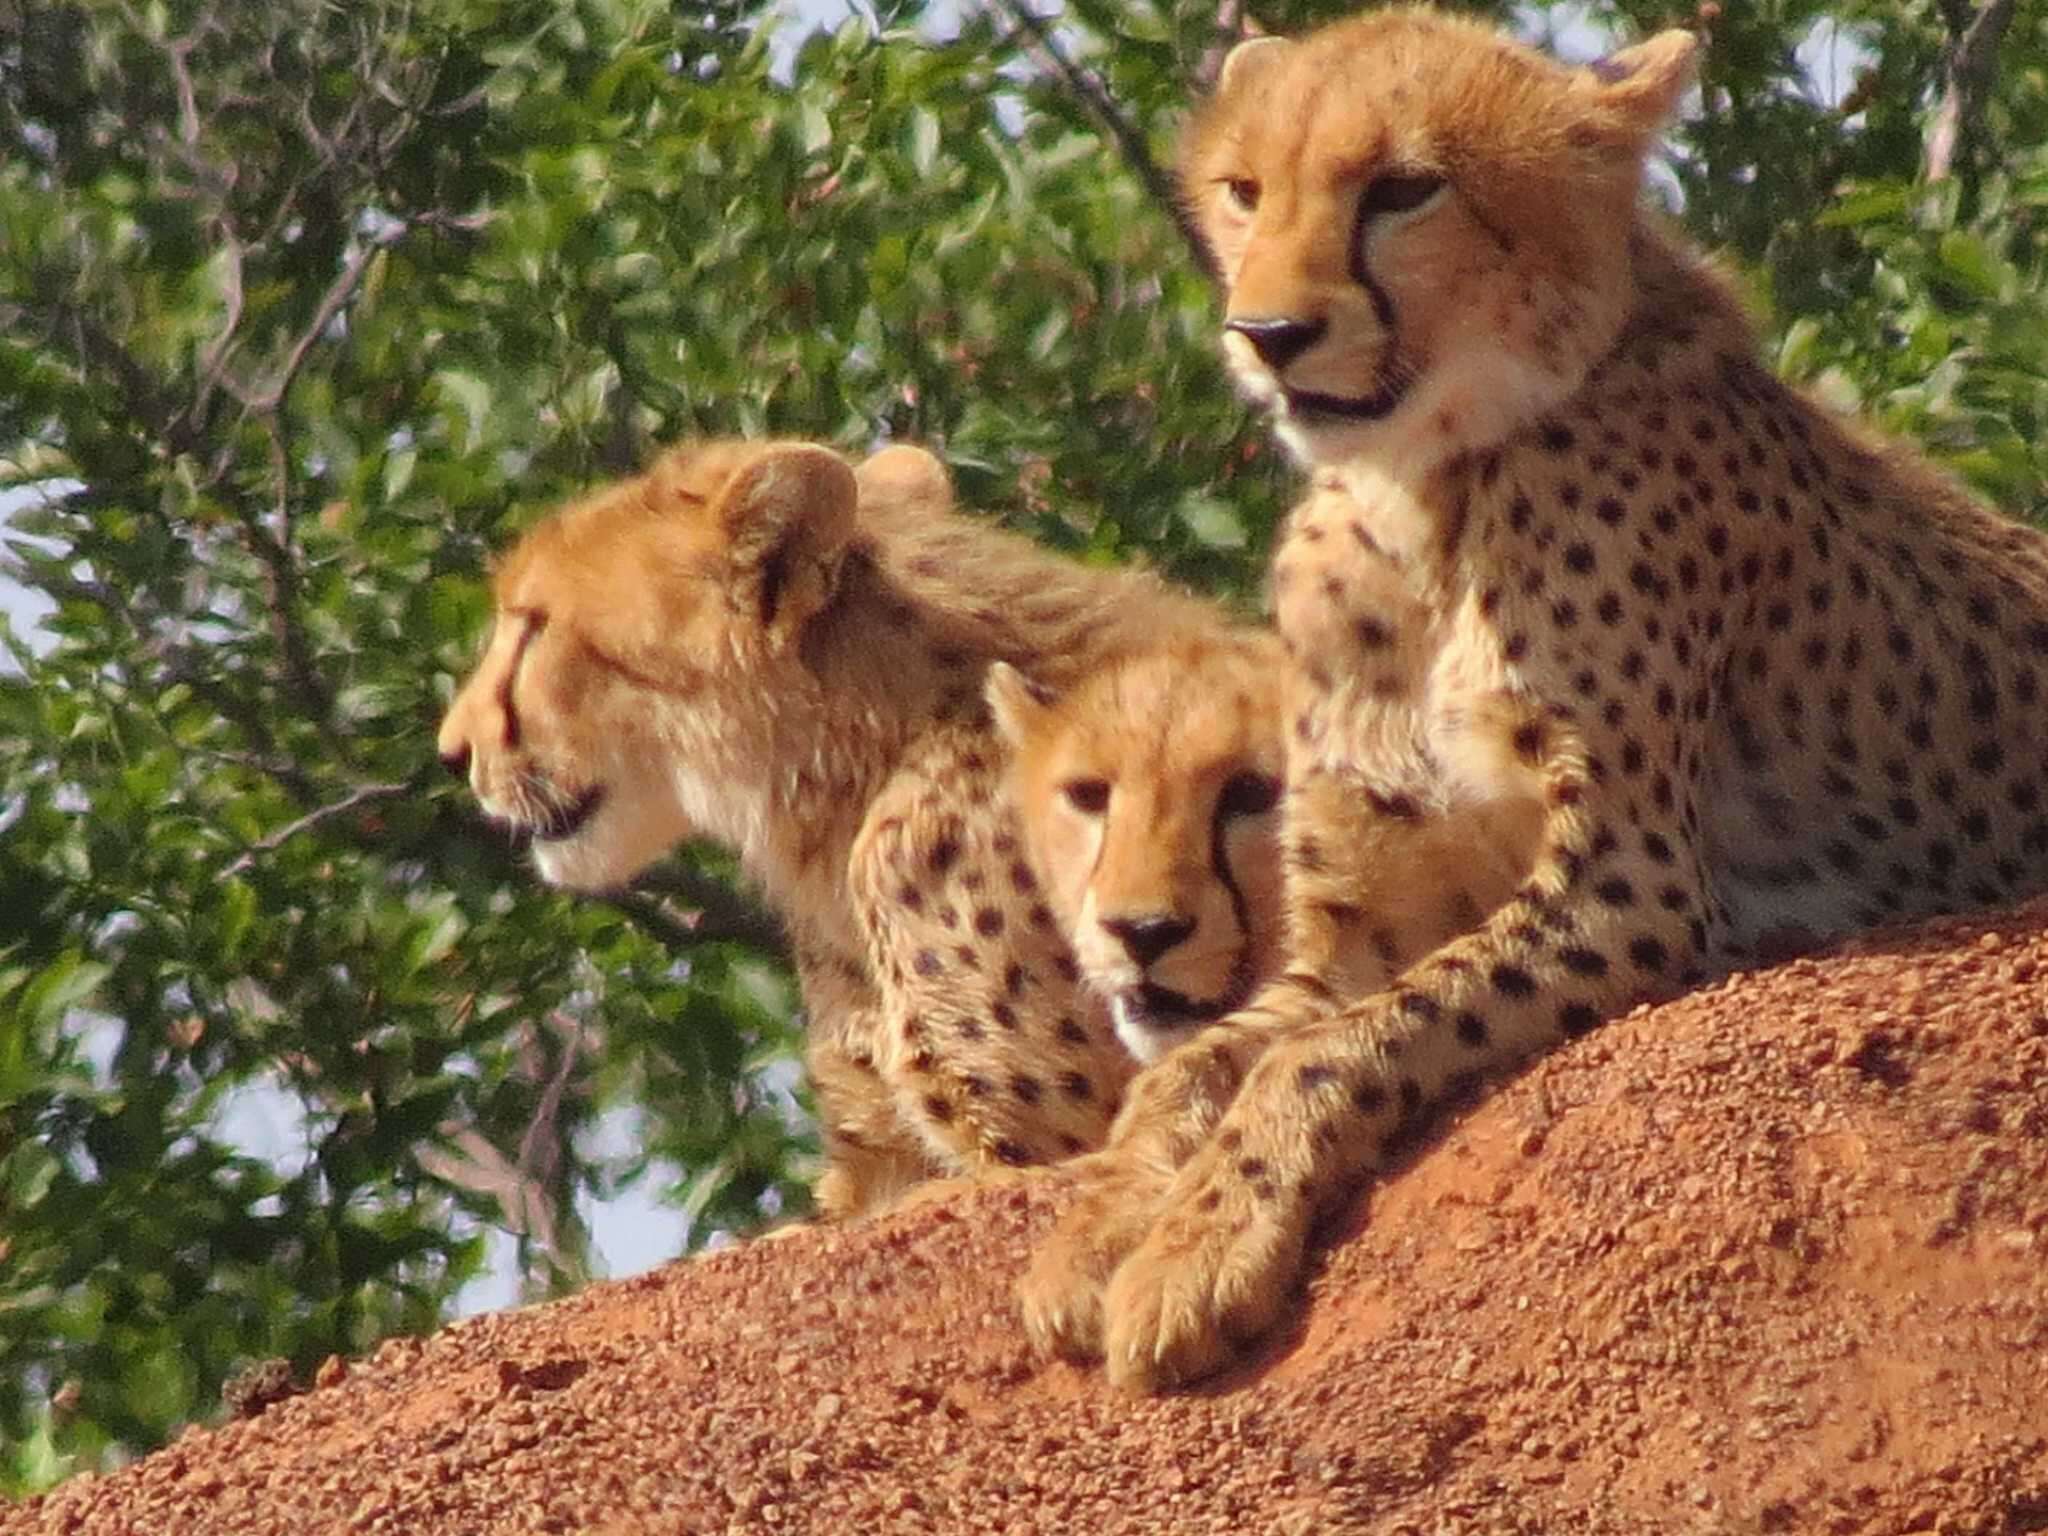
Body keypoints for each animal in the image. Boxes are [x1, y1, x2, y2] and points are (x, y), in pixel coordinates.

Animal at [1024, 3, 2048, 1392]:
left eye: (1402, 190)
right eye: (1243, 192)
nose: (1266, 336)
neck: (1418, 498)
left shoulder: (1630, 889)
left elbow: (1317, 1056)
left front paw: (1196, 1253)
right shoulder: (1358, 929)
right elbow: (1198, 1067)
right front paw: (1097, 1230)